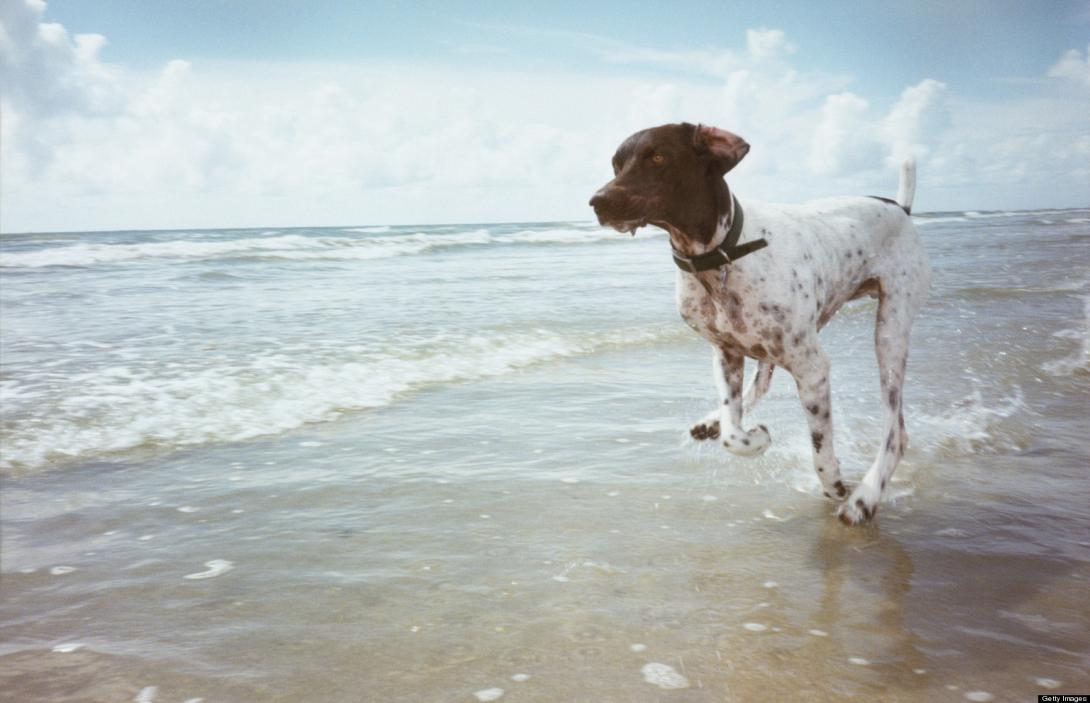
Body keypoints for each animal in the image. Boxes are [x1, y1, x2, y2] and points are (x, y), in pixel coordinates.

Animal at [592, 123, 933, 523]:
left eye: (658, 157)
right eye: (616, 165)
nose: (597, 201)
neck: (721, 255)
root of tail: (900, 208)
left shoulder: (812, 368)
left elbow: (820, 449)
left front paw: (834, 483)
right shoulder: (725, 353)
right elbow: (732, 427)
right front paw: (752, 436)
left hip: (889, 330)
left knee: (896, 432)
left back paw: (865, 497)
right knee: (761, 382)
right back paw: (712, 421)